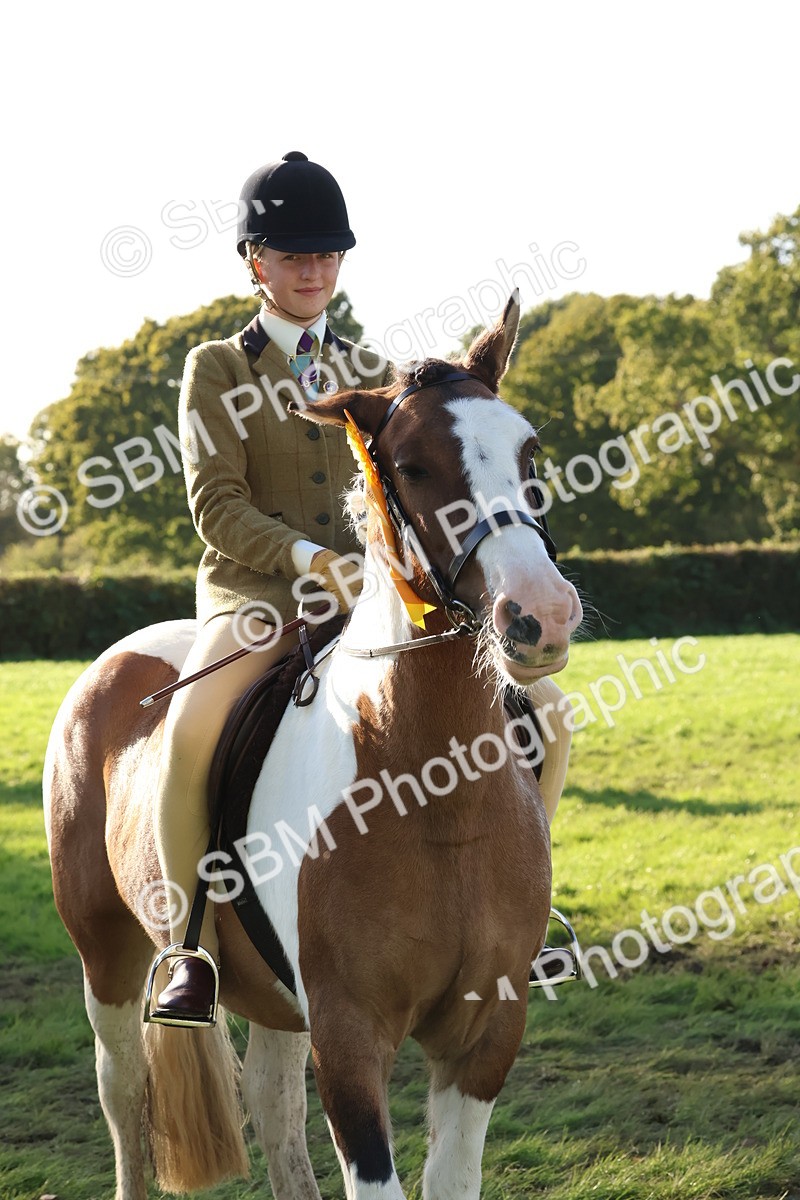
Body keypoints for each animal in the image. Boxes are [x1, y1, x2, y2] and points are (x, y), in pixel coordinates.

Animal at [43, 291, 583, 1200]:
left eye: (530, 449)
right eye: (412, 466)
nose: (539, 615)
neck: (433, 786)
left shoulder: (484, 1034)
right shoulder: (349, 1033)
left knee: (271, 1099)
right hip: (108, 952)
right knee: (124, 1091)